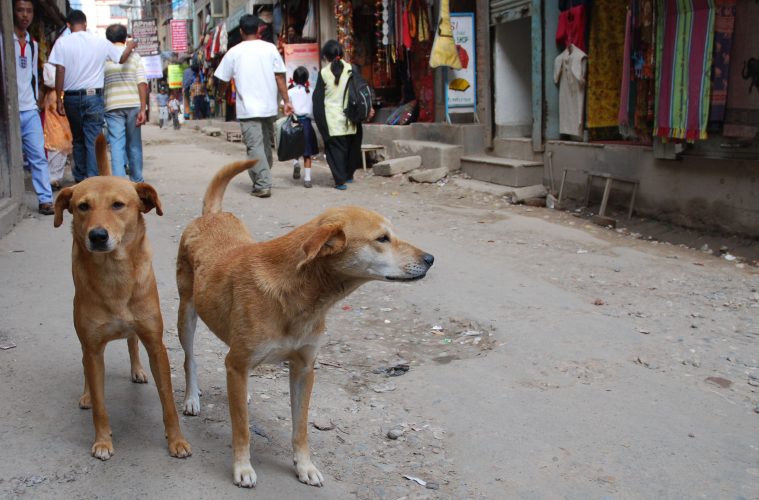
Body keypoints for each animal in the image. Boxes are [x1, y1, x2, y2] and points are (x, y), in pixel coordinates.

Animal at [53, 136, 190, 460]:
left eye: (118, 205)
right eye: (82, 206)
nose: (97, 236)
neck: (114, 276)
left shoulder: (156, 344)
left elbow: (168, 401)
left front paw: (176, 441)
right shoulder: (93, 348)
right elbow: (101, 405)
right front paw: (103, 441)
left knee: (131, 341)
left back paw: (137, 370)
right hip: (84, 337)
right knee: (85, 364)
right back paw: (87, 394)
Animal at [175, 161, 434, 488]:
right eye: (382, 239)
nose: (431, 258)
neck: (302, 296)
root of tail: (212, 215)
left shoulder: (304, 368)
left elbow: (300, 427)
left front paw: (305, 466)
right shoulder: (239, 360)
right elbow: (242, 428)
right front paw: (242, 467)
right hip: (186, 315)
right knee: (190, 359)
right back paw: (192, 398)